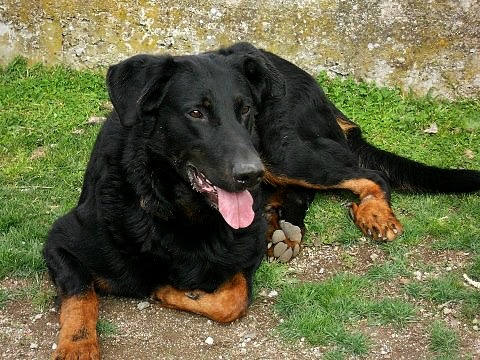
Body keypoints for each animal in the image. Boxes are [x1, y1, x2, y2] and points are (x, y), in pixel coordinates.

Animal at [43, 42, 478, 358]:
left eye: (245, 109)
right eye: (196, 112)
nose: (248, 174)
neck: (178, 211)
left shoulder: (241, 254)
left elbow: (233, 299)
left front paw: (172, 290)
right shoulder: (60, 242)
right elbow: (80, 296)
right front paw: (77, 347)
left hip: (282, 152)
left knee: (370, 175)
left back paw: (370, 213)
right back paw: (281, 225)